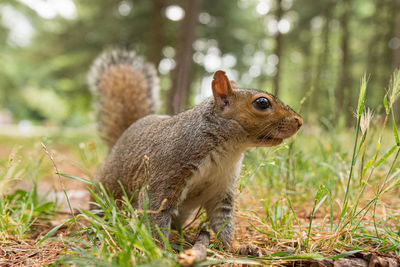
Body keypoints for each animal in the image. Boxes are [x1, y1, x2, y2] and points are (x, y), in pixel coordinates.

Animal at [86, 49, 300, 249]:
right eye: (262, 102)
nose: (299, 121)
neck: (229, 150)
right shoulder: (166, 173)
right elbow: (155, 212)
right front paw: (160, 251)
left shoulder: (221, 188)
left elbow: (223, 220)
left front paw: (236, 247)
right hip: (107, 189)